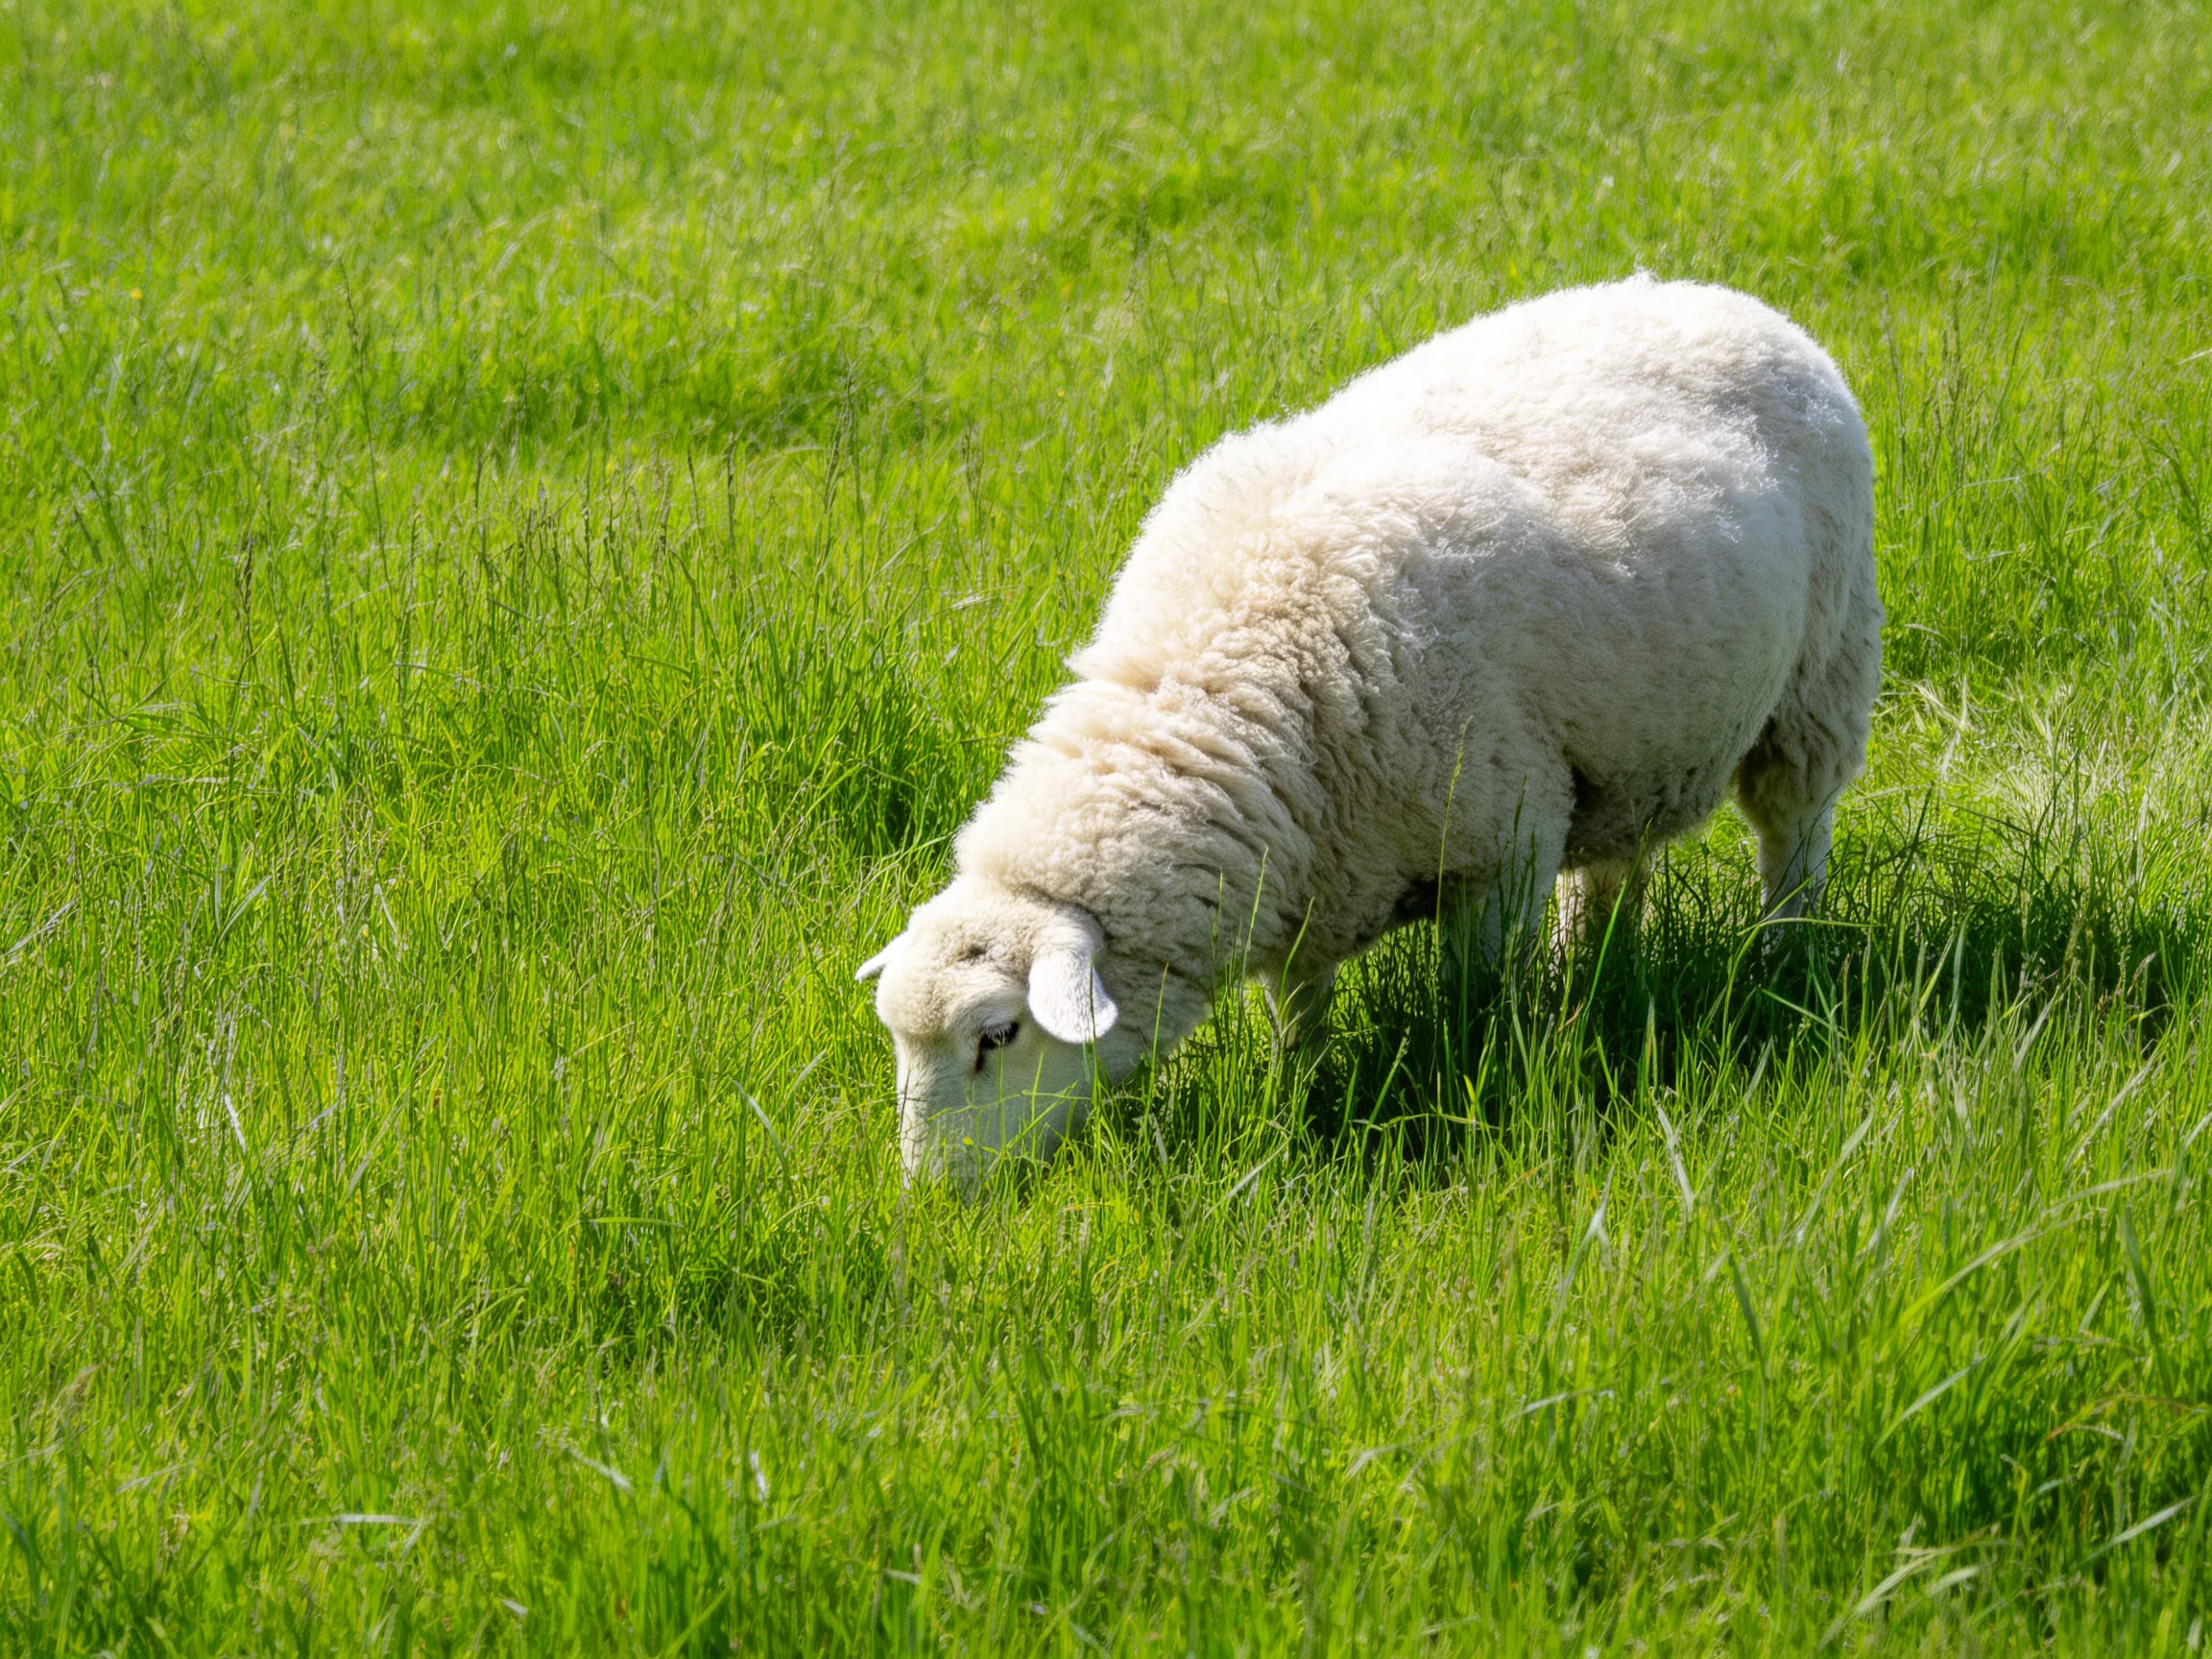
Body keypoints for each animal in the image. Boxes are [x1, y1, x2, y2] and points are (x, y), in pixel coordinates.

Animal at [859, 276, 1883, 1186]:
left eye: (997, 1036)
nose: (930, 1198)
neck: (1223, 680)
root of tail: (1717, 294)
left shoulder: (1498, 847)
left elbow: (1472, 1002)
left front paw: (1477, 1075)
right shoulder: (1306, 877)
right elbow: (1299, 1015)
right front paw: (1301, 1098)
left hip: (1822, 673)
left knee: (1793, 833)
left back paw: (1783, 955)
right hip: (1629, 745)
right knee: (1608, 873)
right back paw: (1587, 974)